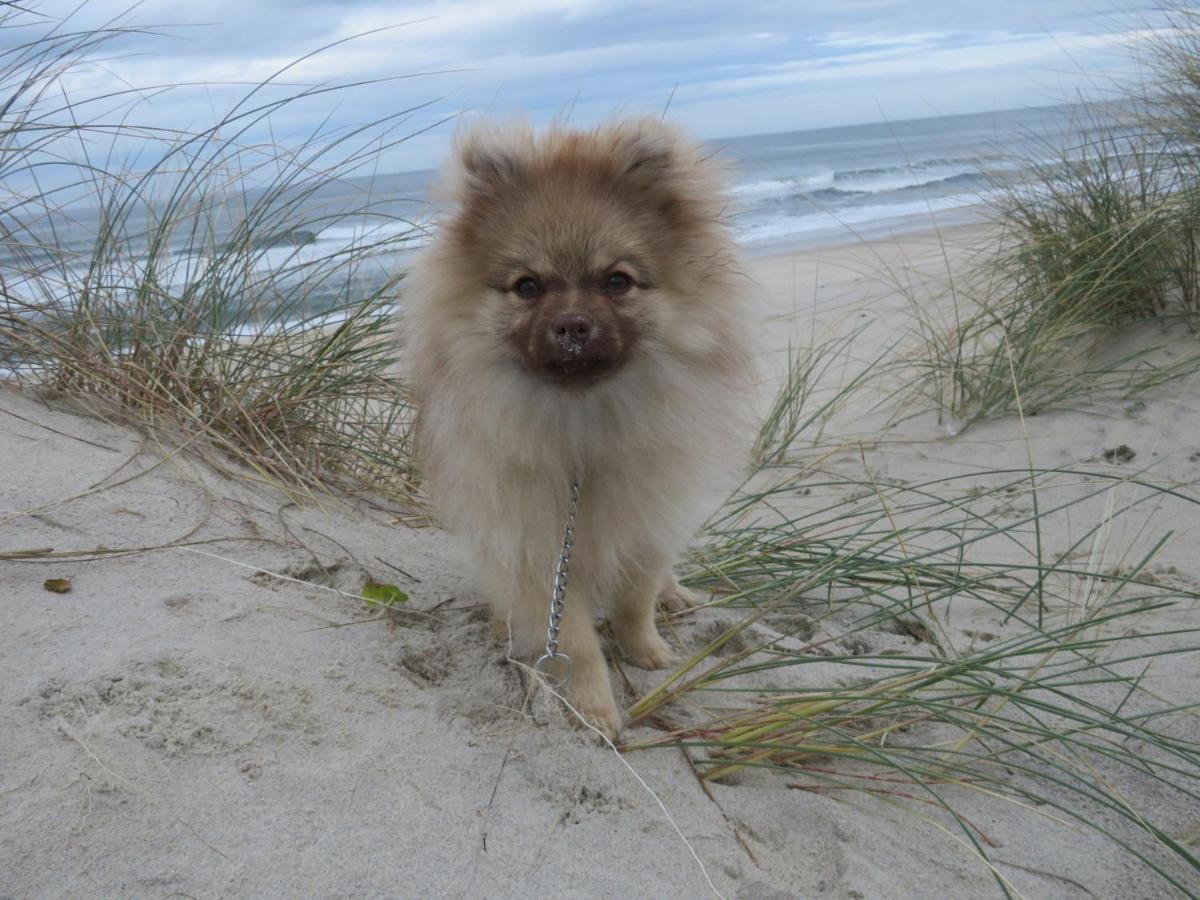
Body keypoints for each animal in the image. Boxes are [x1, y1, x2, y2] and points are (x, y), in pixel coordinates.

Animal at [408, 118, 753, 739]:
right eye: (528, 287)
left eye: (616, 281)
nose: (572, 324)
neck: (582, 426)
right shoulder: (537, 546)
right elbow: (573, 638)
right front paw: (593, 708)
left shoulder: (646, 519)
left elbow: (636, 599)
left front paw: (648, 652)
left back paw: (677, 595)